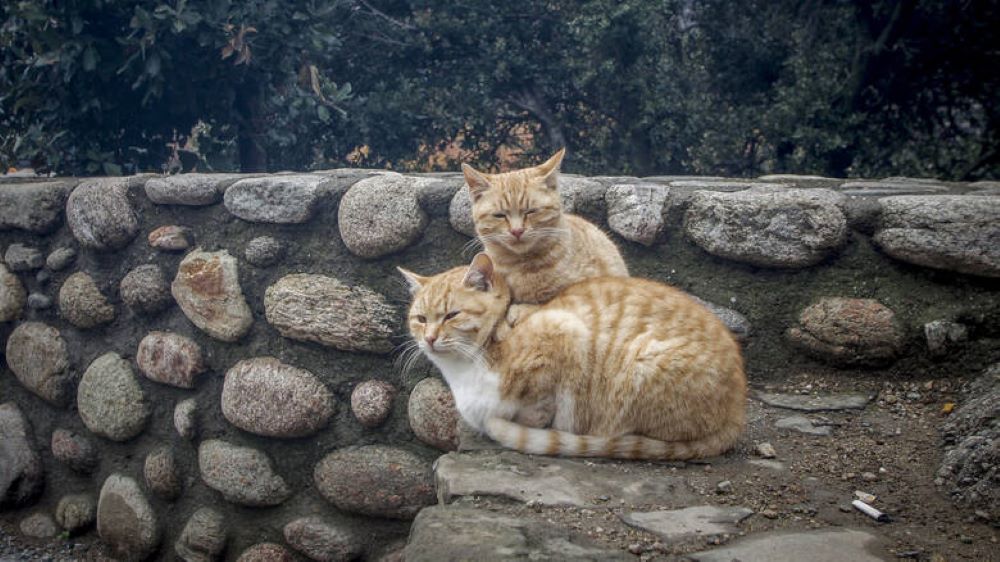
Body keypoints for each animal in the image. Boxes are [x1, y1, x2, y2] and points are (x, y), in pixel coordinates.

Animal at [398, 254, 744, 460]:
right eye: (420, 319)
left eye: (451, 315)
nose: (429, 338)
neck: (466, 366)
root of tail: (737, 410)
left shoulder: (563, 332)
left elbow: (537, 407)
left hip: (640, 365)